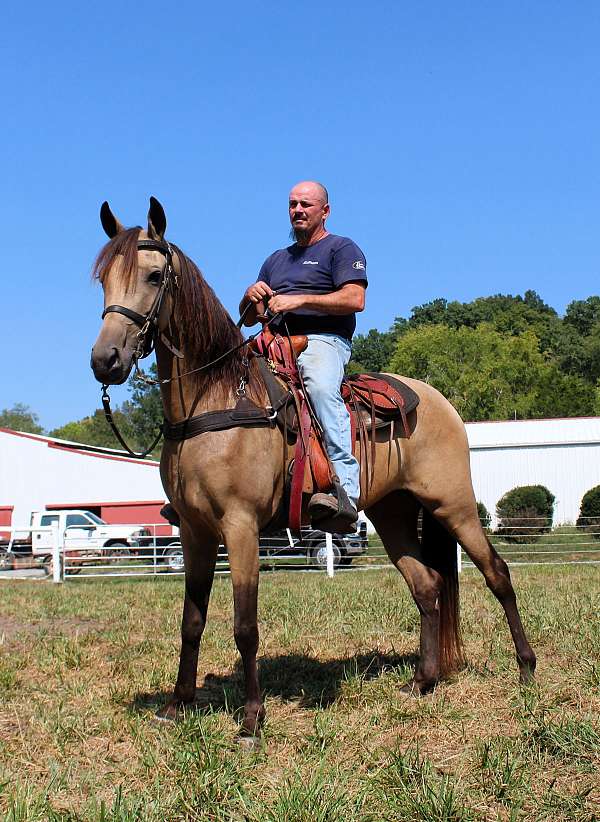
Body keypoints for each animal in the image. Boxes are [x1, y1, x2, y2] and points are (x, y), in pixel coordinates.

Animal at [91, 198, 536, 740]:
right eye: (104, 278)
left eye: (155, 275)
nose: (105, 359)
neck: (216, 400)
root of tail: (438, 401)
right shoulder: (195, 531)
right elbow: (191, 621)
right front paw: (177, 706)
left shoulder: (240, 526)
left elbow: (245, 626)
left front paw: (251, 719)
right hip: (392, 513)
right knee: (427, 586)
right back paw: (423, 681)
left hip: (452, 504)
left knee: (497, 573)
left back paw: (526, 670)